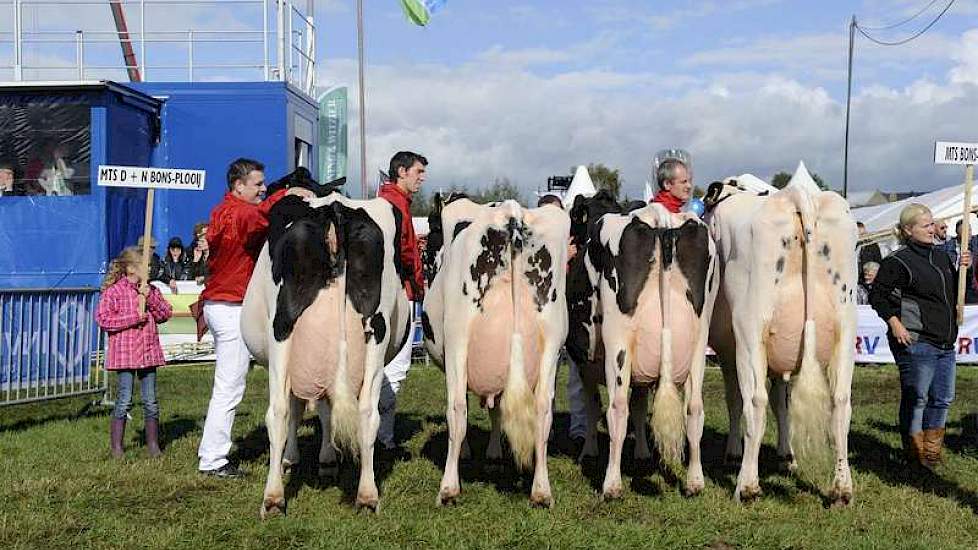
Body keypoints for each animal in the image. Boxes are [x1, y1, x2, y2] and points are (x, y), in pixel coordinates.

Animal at [244, 193, 412, 516]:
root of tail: (334, 207)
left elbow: (299, 407)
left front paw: (294, 459)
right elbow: (325, 405)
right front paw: (328, 460)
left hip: (281, 329)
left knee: (278, 411)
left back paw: (273, 497)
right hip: (377, 329)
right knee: (367, 411)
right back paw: (367, 495)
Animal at [424, 197, 568, 508]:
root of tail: (512, 213)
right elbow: (497, 408)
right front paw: (494, 453)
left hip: (457, 337)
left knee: (457, 408)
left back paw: (449, 487)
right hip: (552, 340)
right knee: (543, 409)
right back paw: (541, 491)